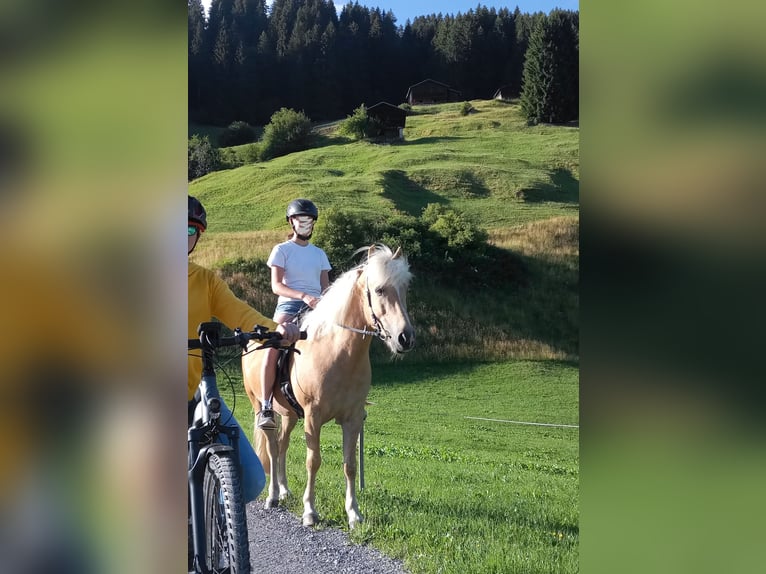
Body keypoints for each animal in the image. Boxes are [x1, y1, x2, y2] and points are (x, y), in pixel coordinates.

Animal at [244, 245, 414, 528]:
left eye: (404, 289)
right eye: (379, 289)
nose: (405, 338)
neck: (337, 352)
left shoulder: (352, 419)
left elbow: (350, 465)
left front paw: (354, 514)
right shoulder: (313, 416)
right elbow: (313, 461)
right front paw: (310, 511)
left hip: (290, 415)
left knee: (282, 445)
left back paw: (285, 490)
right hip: (260, 407)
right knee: (271, 446)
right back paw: (273, 496)